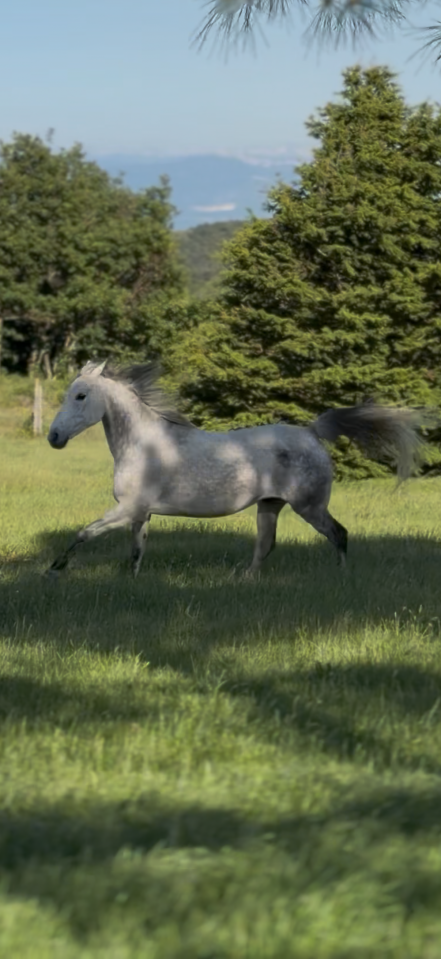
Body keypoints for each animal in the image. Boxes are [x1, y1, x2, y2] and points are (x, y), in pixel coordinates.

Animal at [46, 360, 425, 577]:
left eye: (81, 396)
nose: (54, 437)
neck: (144, 445)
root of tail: (311, 432)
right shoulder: (141, 514)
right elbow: (136, 554)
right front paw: (130, 583)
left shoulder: (127, 510)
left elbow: (84, 533)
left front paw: (53, 569)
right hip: (269, 505)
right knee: (266, 545)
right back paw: (243, 580)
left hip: (310, 507)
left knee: (339, 534)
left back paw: (341, 578)